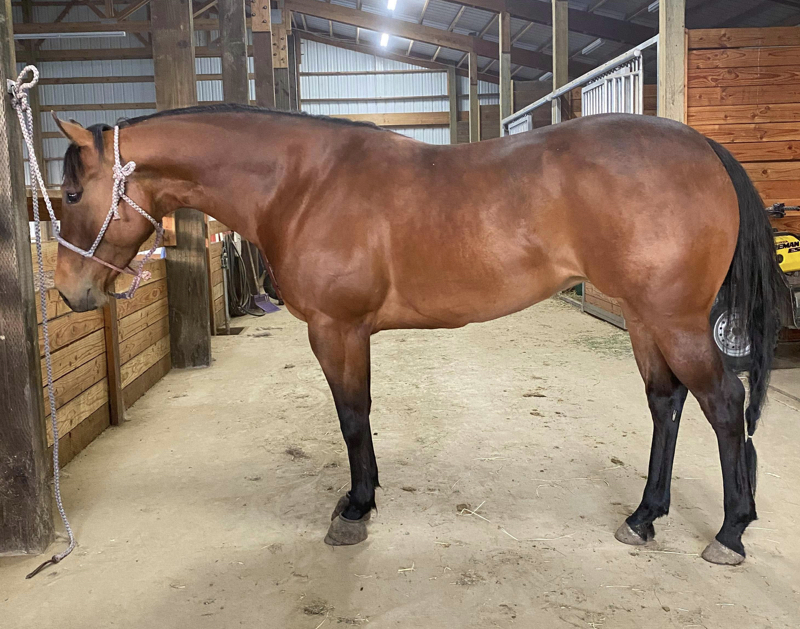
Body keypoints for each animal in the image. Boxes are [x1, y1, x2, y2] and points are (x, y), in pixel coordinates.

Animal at [51, 104, 784, 565]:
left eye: (70, 196)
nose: (68, 291)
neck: (302, 183)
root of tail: (702, 147)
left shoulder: (338, 329)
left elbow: (352, 415)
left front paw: (354, 508)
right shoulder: (350, 332)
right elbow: (359, 414)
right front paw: (365, 496)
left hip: (675, 320)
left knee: (724, 406)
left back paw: (730, 532)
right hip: (643, 318)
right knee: (667, 403)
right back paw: (644, 516)